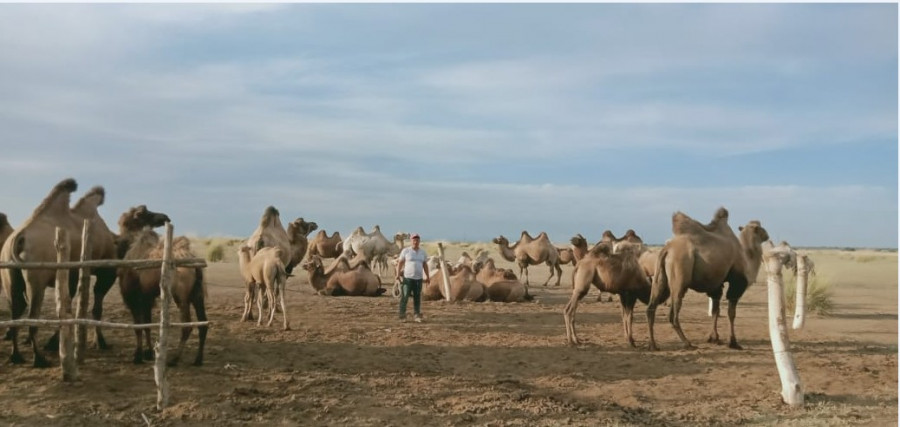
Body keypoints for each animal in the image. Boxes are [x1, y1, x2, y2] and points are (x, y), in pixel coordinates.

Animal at [0, 177, 84, 368]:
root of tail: (19, 238)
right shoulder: (71, 275)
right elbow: (66, 307)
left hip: (10, 276)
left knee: (16, 311)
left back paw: (16, 356)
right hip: (37, 280)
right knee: (32, 317)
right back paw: (39, 359)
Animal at [116, 229, 206, 366]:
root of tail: (196, 266)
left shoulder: (135, 300)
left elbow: (138, 327)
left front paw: (138, 356)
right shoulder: (147, 299)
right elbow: (147, 325)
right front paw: (148, 354)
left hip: (181, 297)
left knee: (187, 326)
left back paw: (174, 359)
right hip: (197, 295)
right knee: (203, 324)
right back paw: (198, 360)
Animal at [644, 207, 768, 352]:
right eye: (760, 228)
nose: (767, 235)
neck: (746, 258)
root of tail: (667, 249)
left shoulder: (717, 284)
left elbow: (715, 311)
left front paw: (714, 338)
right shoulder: (737, 283)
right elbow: (731, 313)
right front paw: (733, 342)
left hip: (659, 277)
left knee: (651, 307)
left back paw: (653, 345)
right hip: (679, 275)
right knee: (673, 314)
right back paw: (687, 343)